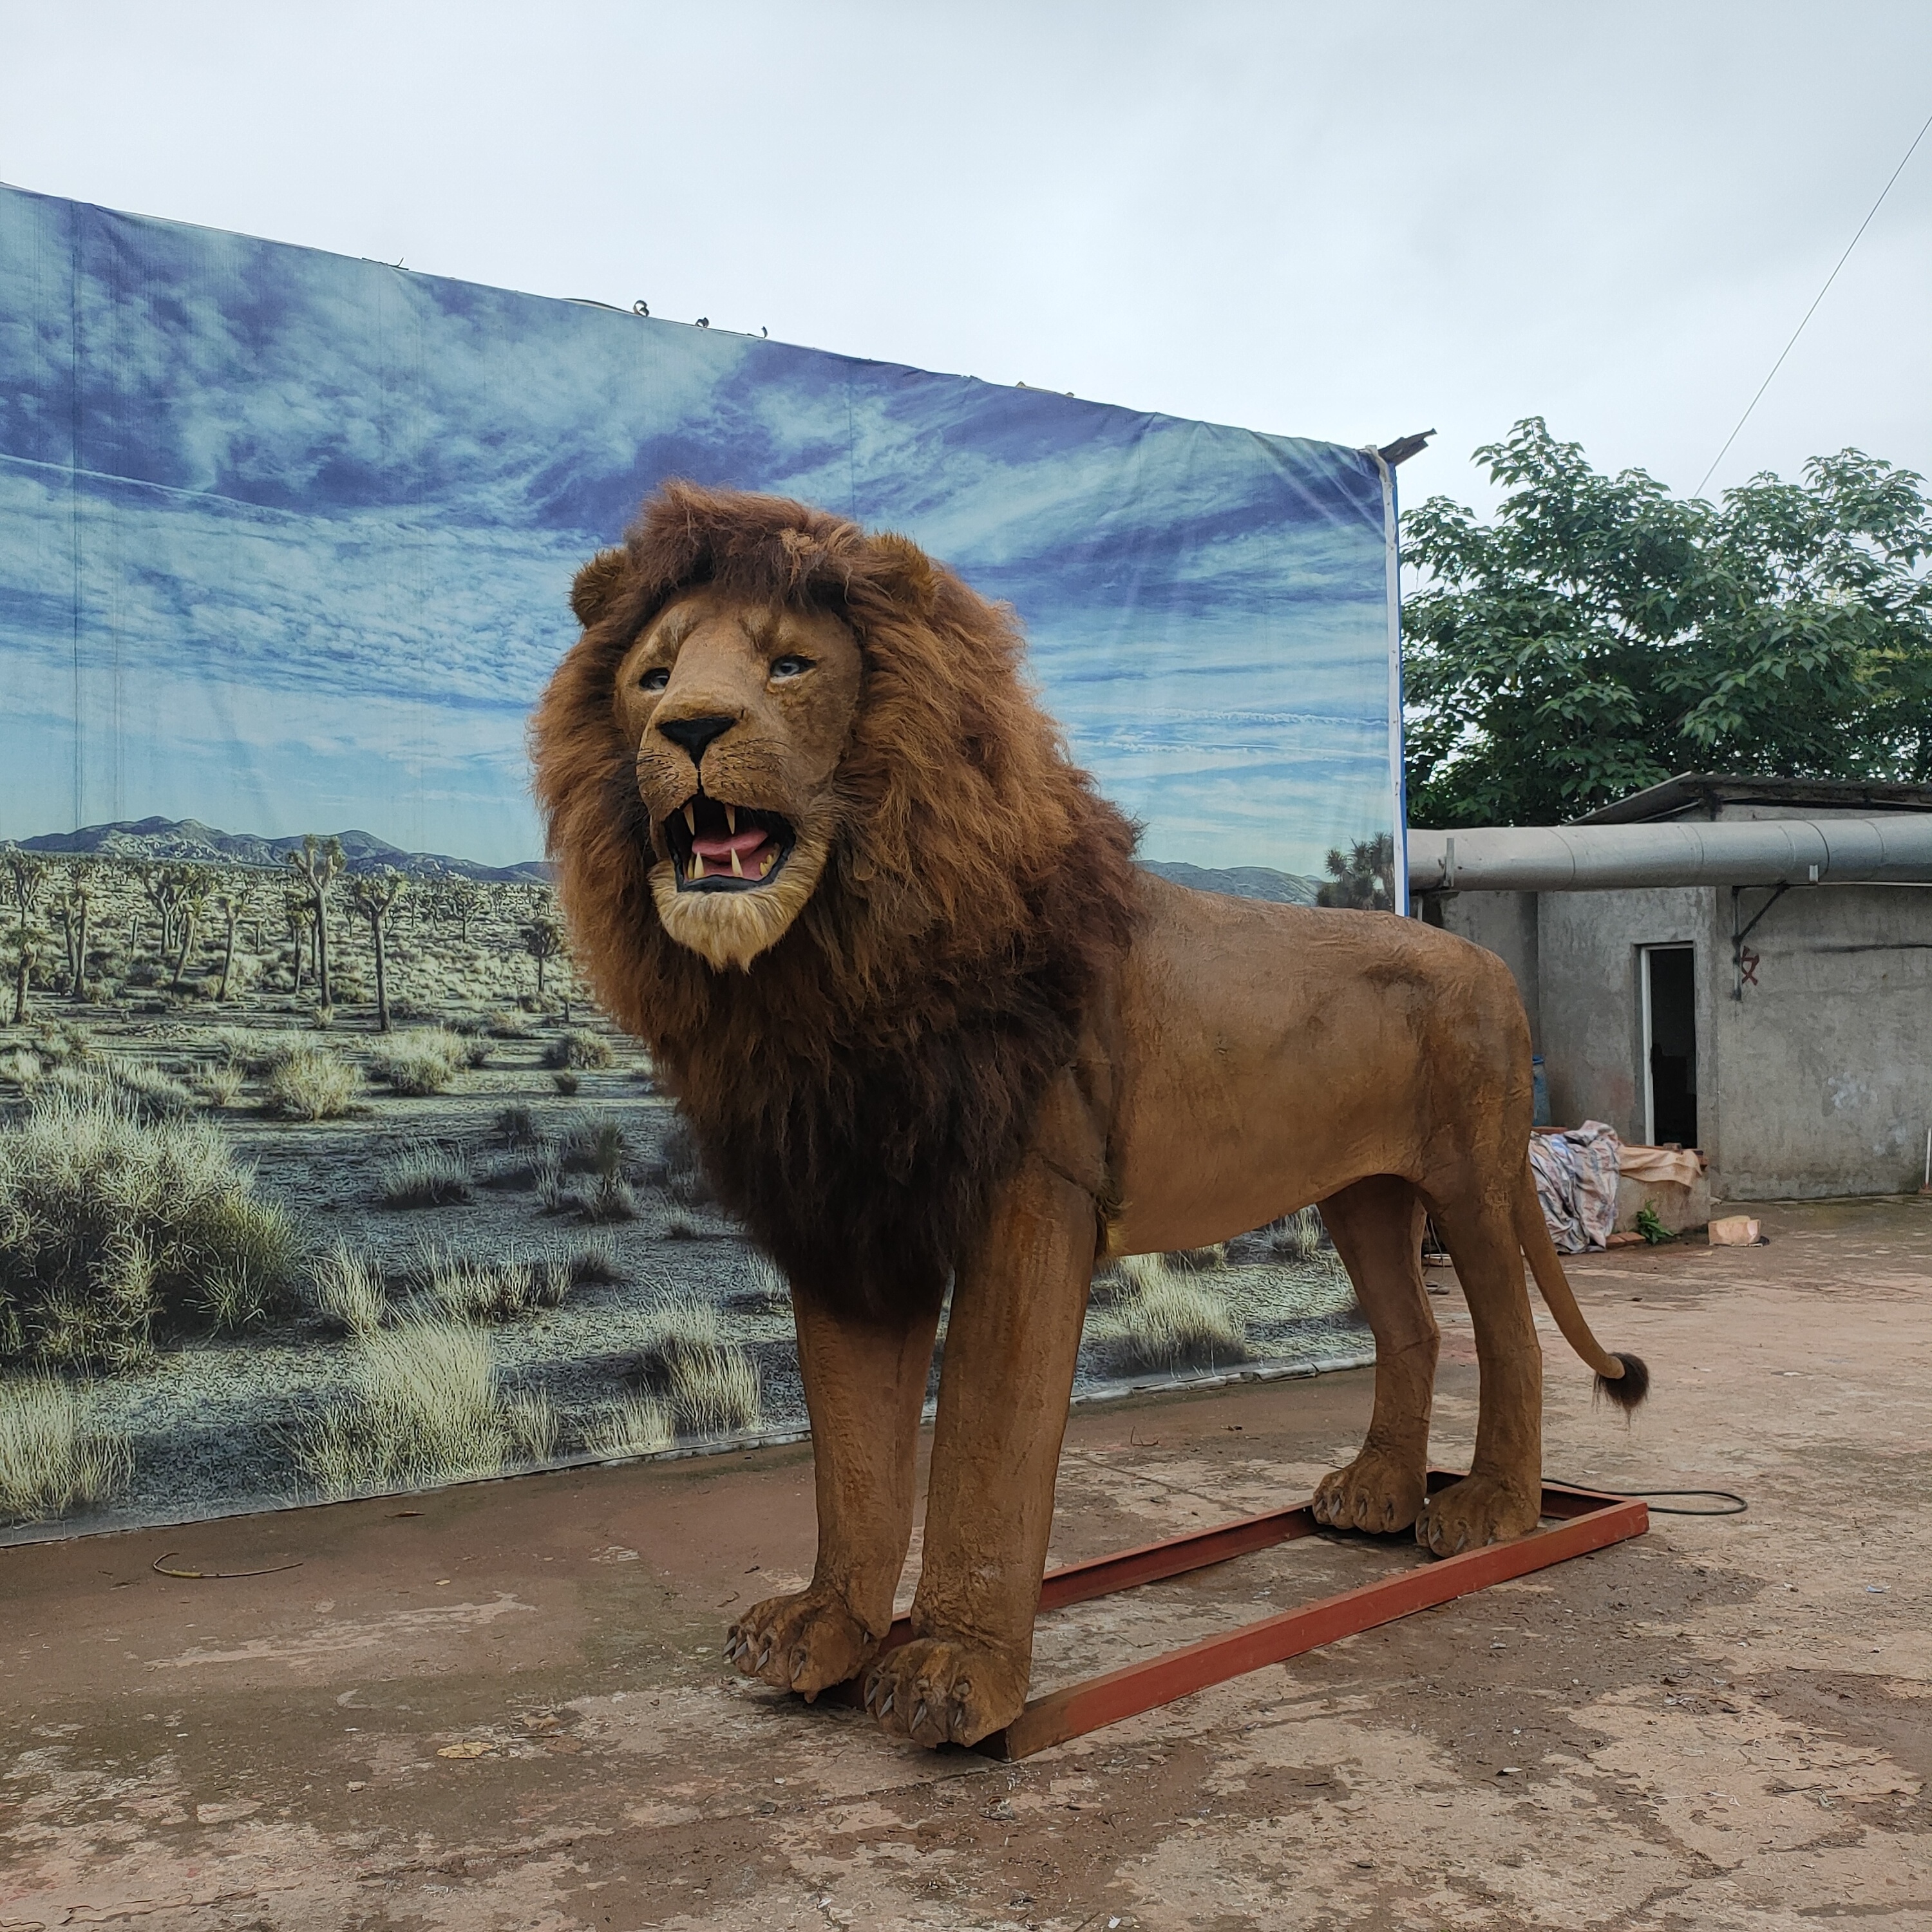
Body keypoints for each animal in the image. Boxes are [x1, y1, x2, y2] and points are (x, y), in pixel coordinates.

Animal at [533, 483, 1646, 1754]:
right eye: (654, 676)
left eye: (790, 665)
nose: (689, 731)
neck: (834, 970)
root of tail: (1491, 965)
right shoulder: (851, 1215)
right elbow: (853, 1451)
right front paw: (826, 1630)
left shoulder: (1028, 1200)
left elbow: (987, 1440)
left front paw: (954, 1671)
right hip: (1360, 1192)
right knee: (1410, 1331)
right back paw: (1376, 1496)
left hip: (1469, 1174)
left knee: (1508, 1336)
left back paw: (1491, 1512)